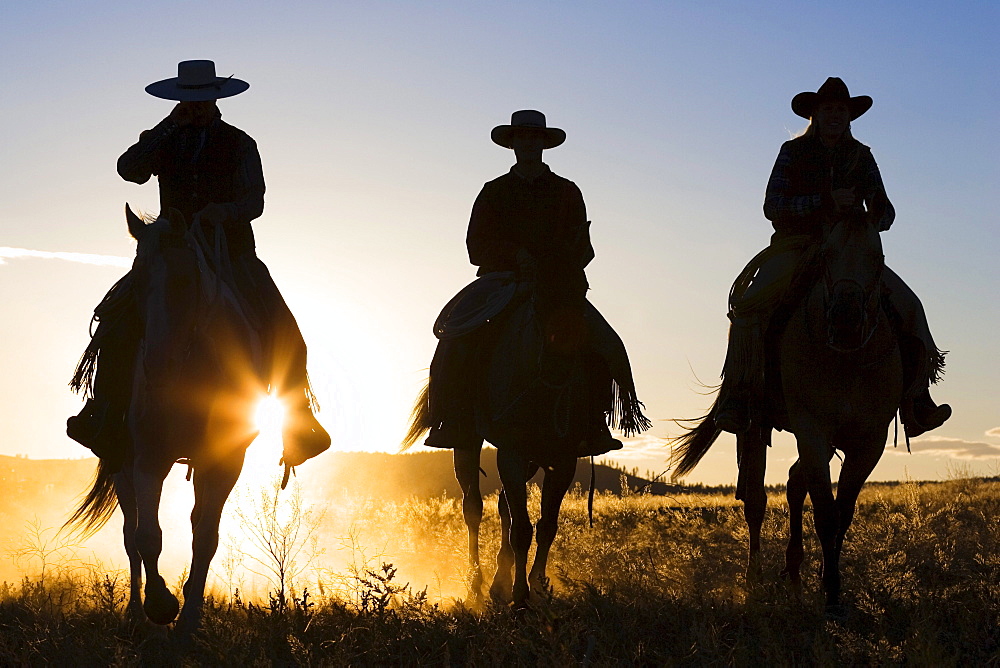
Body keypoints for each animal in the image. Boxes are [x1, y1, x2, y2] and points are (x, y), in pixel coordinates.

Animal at [66, 206, 262, 636]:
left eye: (188, 280)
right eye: (137, 279)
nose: (157, 364)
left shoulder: (225, 463)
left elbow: (206, 537)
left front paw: (189, 622)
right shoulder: (148, 459)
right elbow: (147, 537)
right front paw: (160, 604)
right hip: (121, 463)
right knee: (130, 535)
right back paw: (134, 616)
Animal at [676, 218, 904, 612]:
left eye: (878, 258)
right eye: (826, 255)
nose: (845, 320)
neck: (847, 359)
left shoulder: (868, 440)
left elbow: (842, 512)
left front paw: (830, 583)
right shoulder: (811, 429)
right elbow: (825, 513)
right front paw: (831, 595)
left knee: (795, 483)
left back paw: (794, 572)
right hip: (753, 424)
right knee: (756, 500)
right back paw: (754, 580)